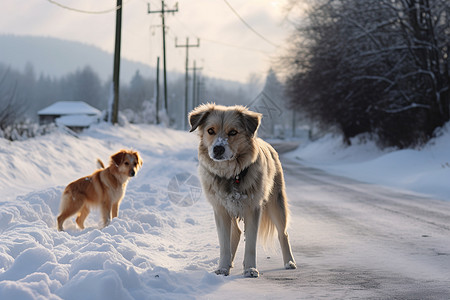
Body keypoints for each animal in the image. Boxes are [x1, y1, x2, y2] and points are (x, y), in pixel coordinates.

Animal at [188, 103, 298, 276]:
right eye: (210, 131)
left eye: (233, 132)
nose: (218, 149)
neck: (231, 174)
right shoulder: (221, 210)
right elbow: (224, 244)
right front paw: (222, 267)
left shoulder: (253, 209)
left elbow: (251, 243)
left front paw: (250, 269)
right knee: (237, 234)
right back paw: (229, 263)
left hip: (276, 203)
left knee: (283, 233)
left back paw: (289, 262)